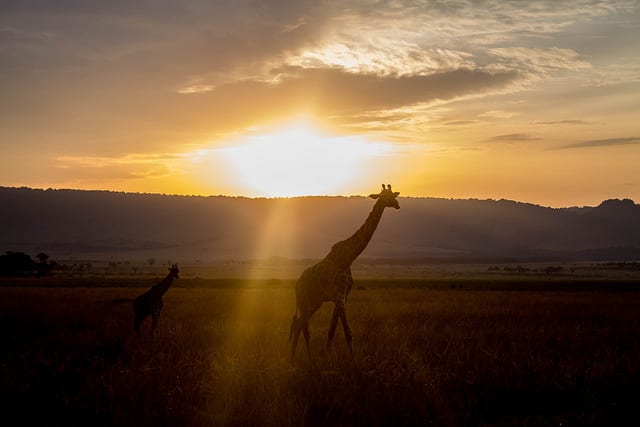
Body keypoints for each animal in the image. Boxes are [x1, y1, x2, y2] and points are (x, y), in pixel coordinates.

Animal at [290, 185, 400, 364]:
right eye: (384, 196)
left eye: (393, 194)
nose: (397, 204)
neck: (349, 258)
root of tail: (296, 285)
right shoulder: (339, 297)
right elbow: (348, 332)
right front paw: (354, 364)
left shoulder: (342, 298)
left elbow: (332, 331)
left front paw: (328, 357)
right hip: (304, 300)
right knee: (304, 328)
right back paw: (309, 361)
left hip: (315, 302)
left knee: (299, 324)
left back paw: (293, 359)